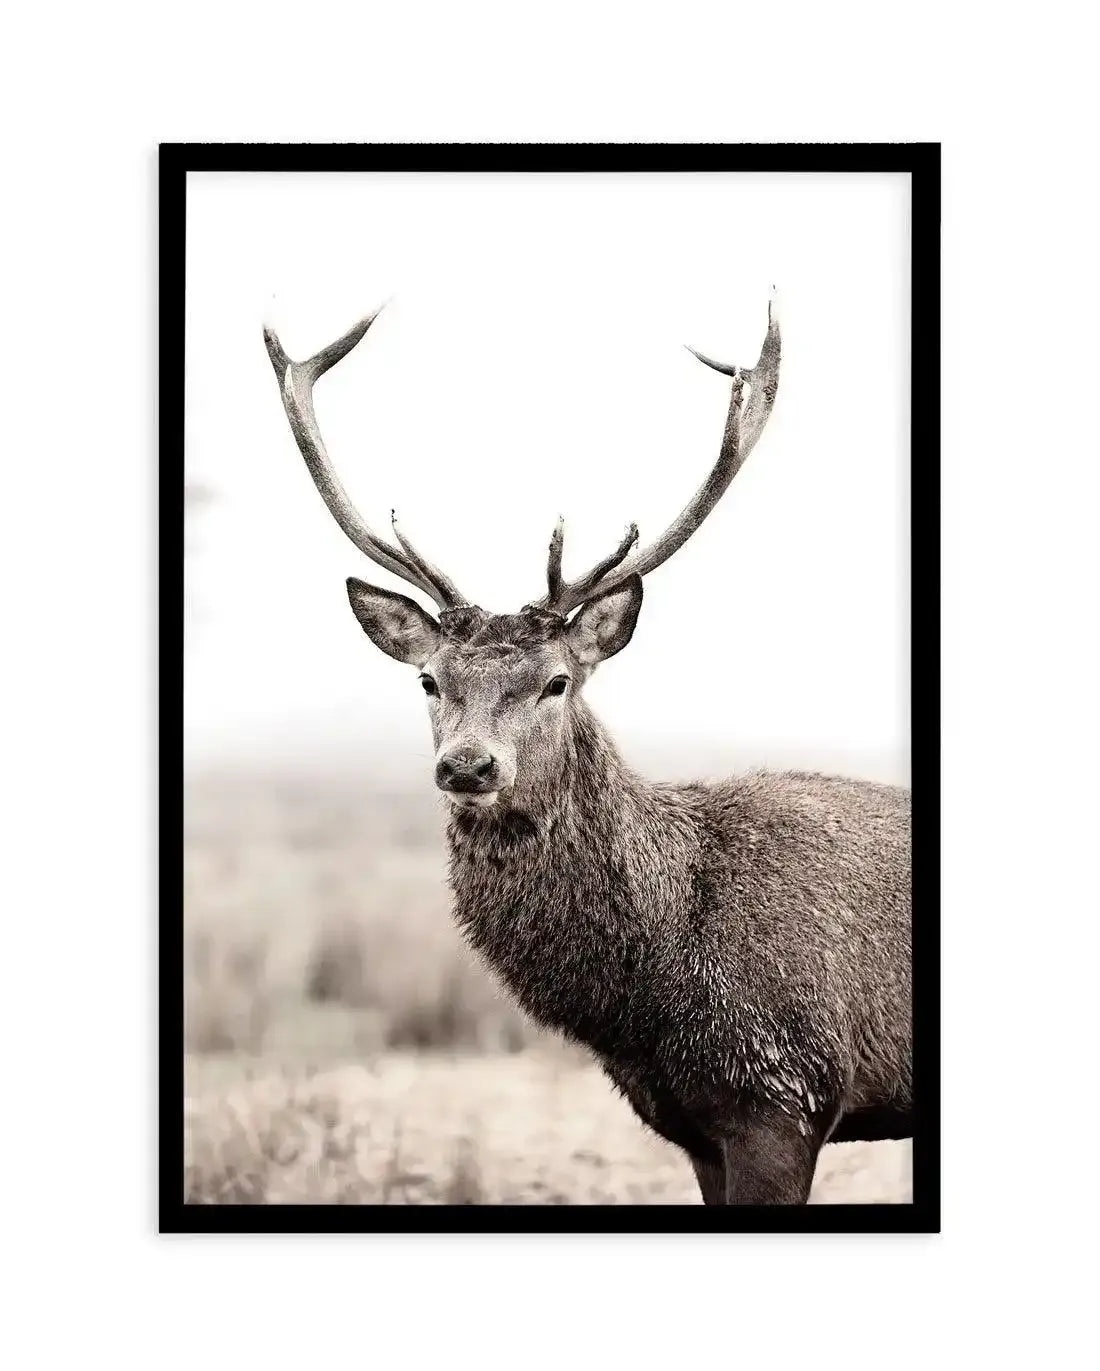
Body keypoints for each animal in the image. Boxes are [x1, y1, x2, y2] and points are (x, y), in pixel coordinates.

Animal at [263, 300, 912, 1206]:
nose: (468, 765)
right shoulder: (693, 1127)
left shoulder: (784, 1094)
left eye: (557, 680)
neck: (651, 998)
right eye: (429, 679)